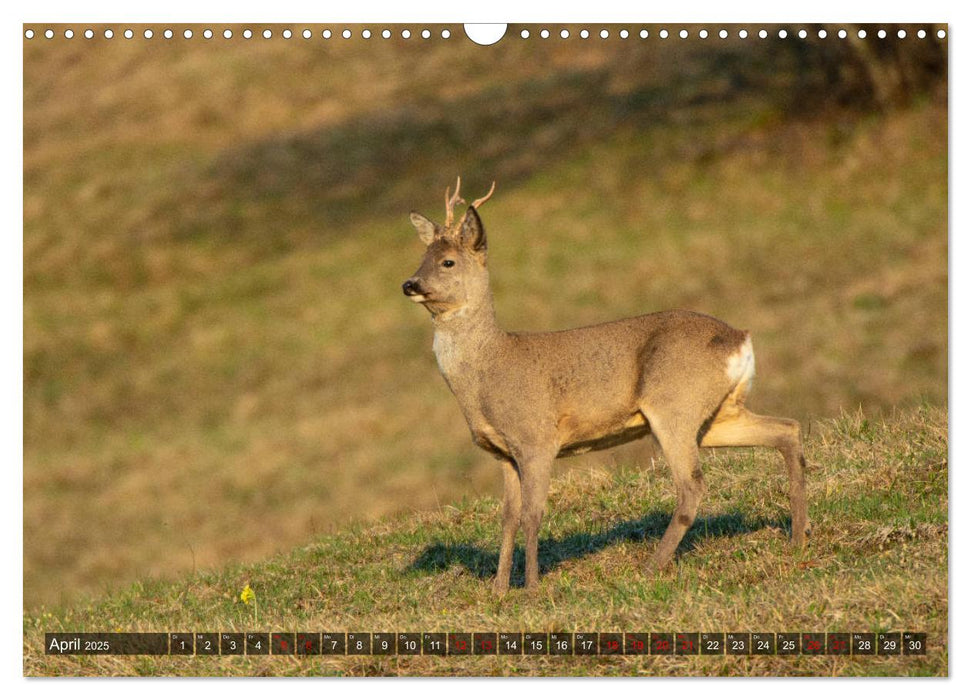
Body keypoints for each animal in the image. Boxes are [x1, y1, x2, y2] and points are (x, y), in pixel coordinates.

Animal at [402, 178, 812, 592]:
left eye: (448, 261)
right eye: (422, 256)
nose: (410, 284)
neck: (487, 372)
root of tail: (740, 339)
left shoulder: (537, 439)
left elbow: (533, 515)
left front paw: (531, 587)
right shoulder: (503, 453)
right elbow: (507, 520)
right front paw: (499, 589)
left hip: (673, 406)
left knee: (692, 485)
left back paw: (650, 568)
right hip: (717, 414)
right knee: (787, 429)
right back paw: (798, 537)